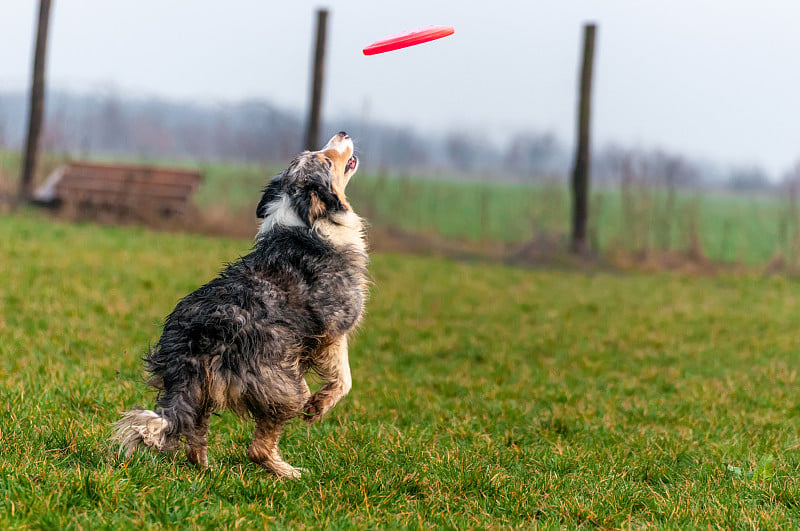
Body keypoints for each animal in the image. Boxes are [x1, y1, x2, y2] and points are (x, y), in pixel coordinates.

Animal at [113, 132, 368, 478]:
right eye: (327, 160)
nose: (342, 133)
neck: (302, 220)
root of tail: (198, 340)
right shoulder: (333, 331)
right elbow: (344, 378)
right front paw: (320, 406)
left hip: (200, 390)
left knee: (194, 437)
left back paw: (207, 470)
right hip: (286, 387)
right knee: (257, 449)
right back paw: (290, 472)